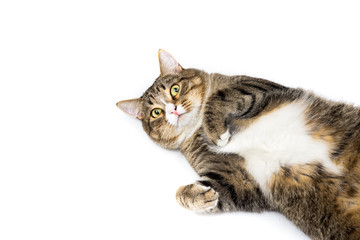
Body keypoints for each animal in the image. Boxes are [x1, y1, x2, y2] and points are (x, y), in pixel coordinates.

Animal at [116, 49, 360, 239]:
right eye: (156, 113)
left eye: (175, 89)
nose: (172, 110)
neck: (197, 126)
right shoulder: (240, 178)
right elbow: (212, 191)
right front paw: (200, 194)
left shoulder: (256, 86)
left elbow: (219, 96)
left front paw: (215, 131)